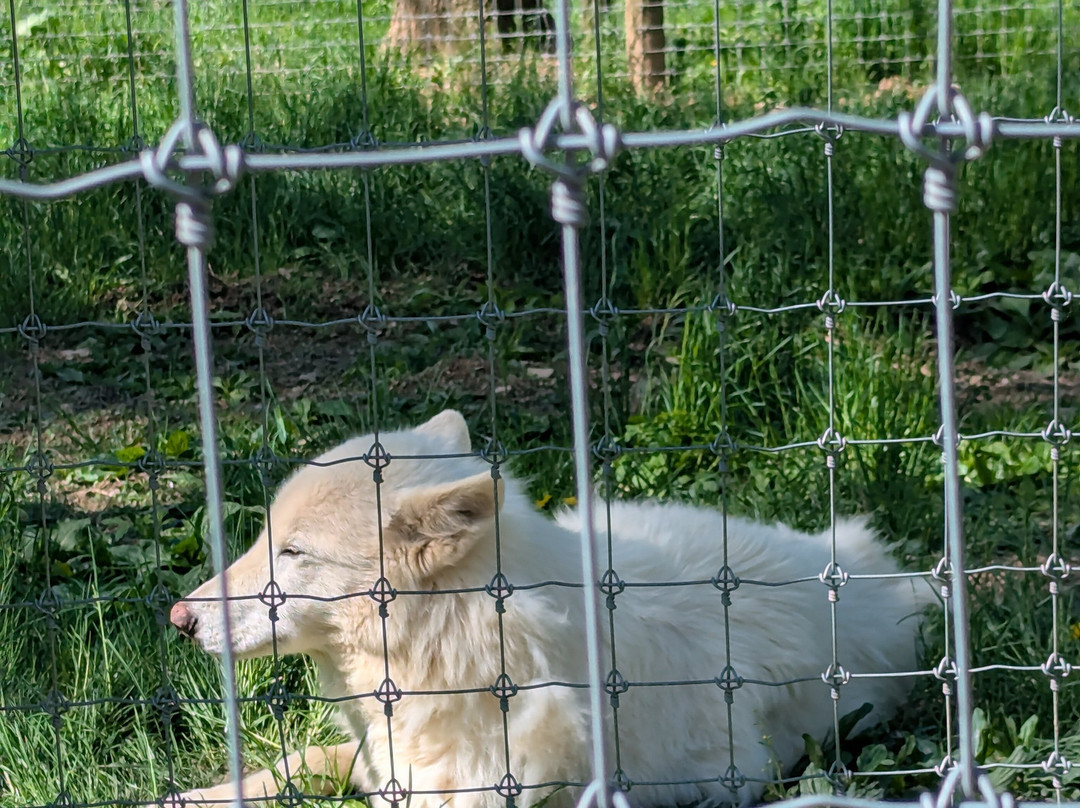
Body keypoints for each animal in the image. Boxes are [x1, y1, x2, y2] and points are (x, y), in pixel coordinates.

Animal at [172, 410, 930, 808]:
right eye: (266, 539)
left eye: (294, 552)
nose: (179, 619)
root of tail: (876, 565)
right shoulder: (380, 764)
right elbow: (289, 763)